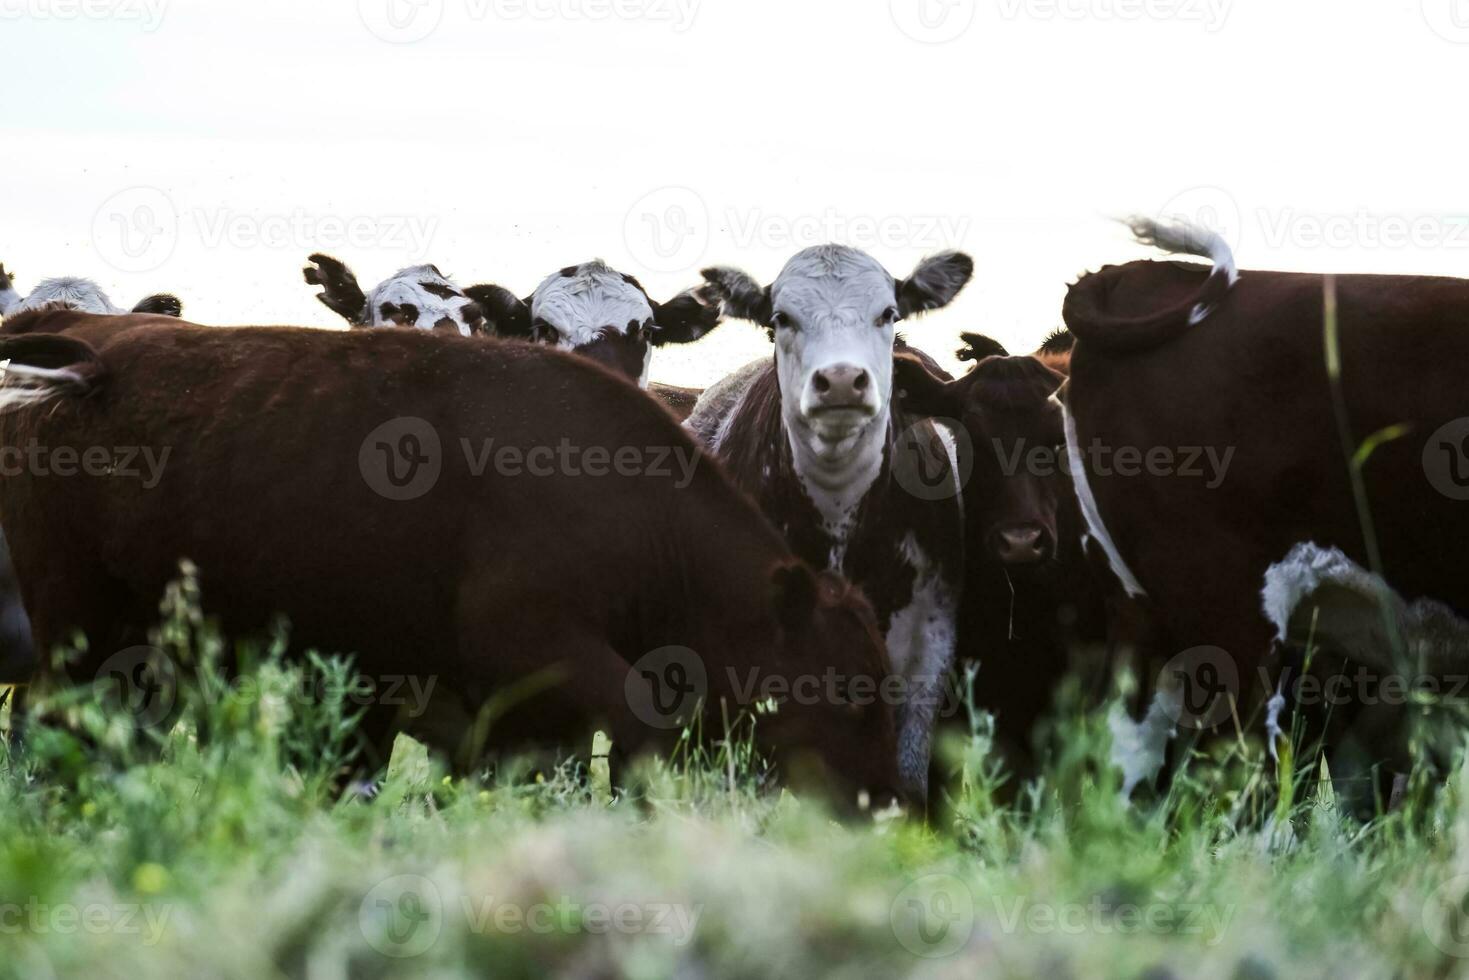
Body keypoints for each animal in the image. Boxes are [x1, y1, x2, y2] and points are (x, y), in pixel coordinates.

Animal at [0, 310, 904, 811]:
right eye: (845, 690)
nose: (885, 809)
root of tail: (94, 360)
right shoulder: (530, 647)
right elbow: (642, 727)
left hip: (143, 654)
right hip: (80, 631)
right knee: (54, 726)